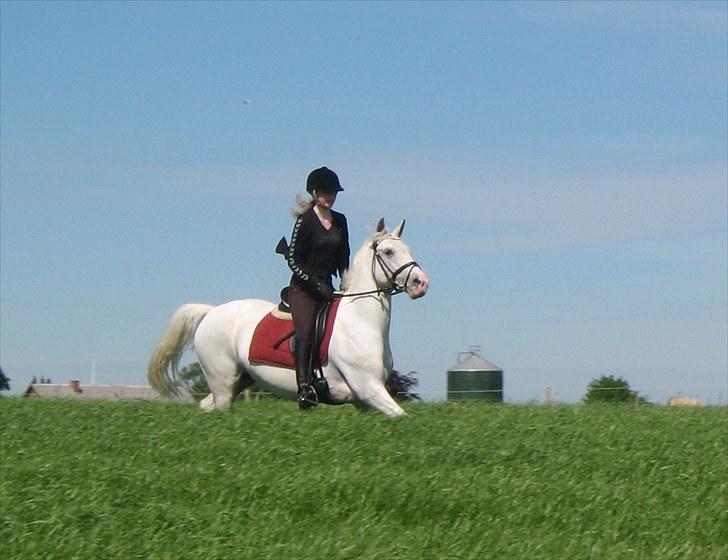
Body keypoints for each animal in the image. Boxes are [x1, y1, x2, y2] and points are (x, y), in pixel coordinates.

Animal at [150, 219, 430, 416]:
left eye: (408, 249)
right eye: (389, 251)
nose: (421, 283)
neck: (361, 321)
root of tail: (211, 311)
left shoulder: (364, 400)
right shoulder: (368, 388)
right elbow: (403, 416)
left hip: (238, 380)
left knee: (206, 407)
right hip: (222, 382)